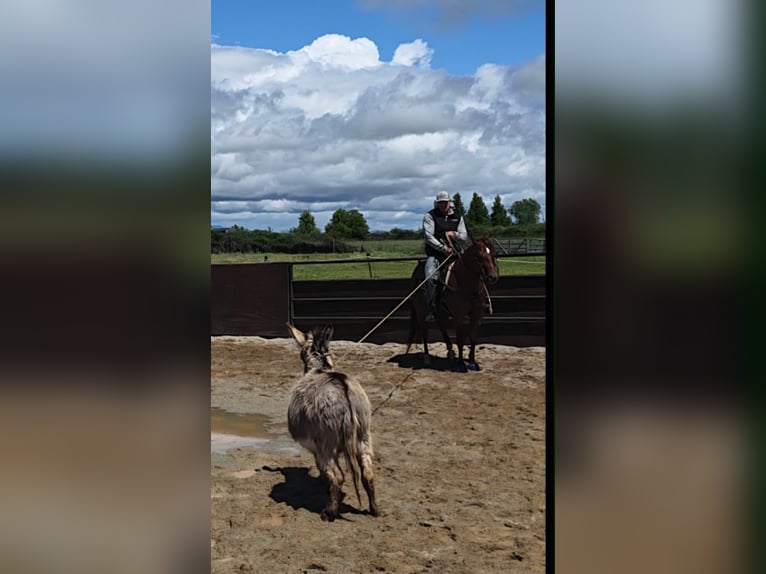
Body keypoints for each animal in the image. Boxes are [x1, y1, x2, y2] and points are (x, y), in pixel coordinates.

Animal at [405, 237, 499, 372]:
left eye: (493, 254)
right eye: (479, 257)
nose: (493, 277)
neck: (465, 282)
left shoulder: (476, 312)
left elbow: (473, 335)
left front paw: (472, 362)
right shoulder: (458, 314)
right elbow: (460, 338)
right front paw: (460, 365)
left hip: (440, 310)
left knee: (441, 325)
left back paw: (450, 351)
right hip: (420, 310)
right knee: (424, 331)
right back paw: (427, 357)